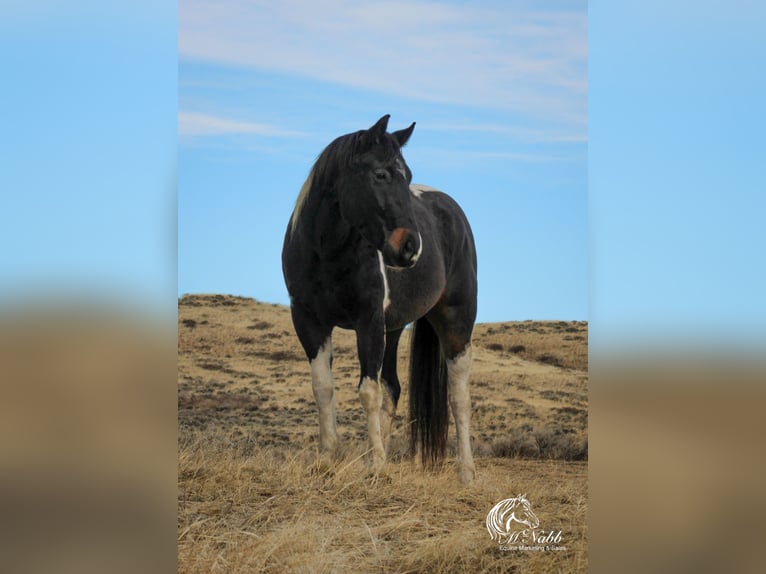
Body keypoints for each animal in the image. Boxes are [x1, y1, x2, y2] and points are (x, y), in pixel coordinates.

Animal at [282, 115, 476, 484]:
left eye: (408, 176)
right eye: (380, 174)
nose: (411, 247)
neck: (328, 255)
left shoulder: (367, 320)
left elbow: (367, 391)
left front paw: (375, 464)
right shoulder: (308, 321)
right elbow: (323, 388)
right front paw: (327, 459)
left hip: (456, 320)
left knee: (458, 396)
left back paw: (465, 472)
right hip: (394, 327)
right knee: (393, 389)